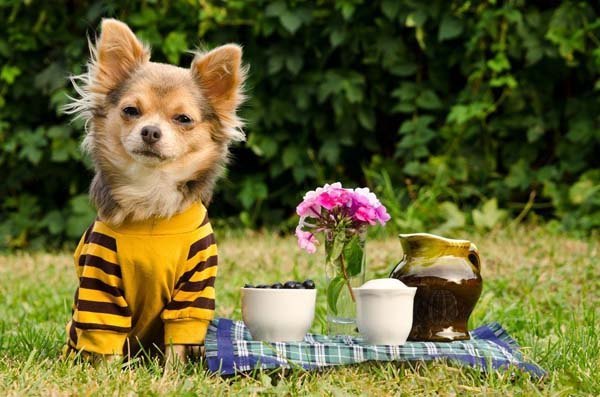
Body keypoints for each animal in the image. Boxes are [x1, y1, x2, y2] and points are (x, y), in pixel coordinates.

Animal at [61, 19, 246, 366]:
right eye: (131, 111)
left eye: (183, 119)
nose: (150, 131)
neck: (151, 194)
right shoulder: (101, 284)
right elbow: (106, 337)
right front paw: (106, 375)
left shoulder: (194, 287)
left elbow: (178, 338)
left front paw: (171, 373)